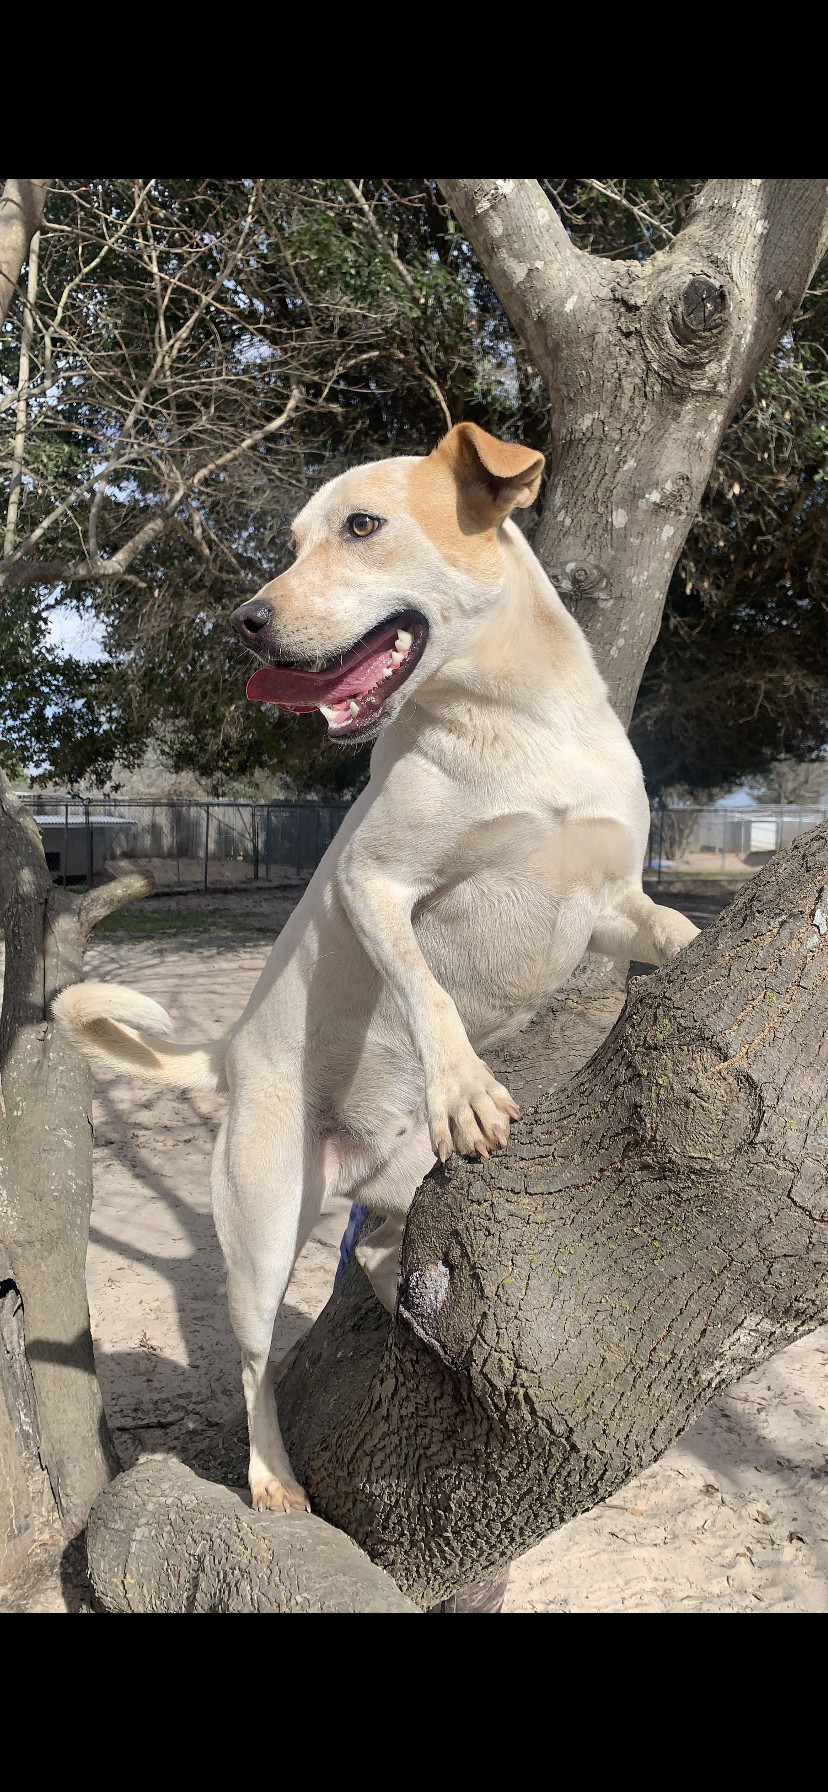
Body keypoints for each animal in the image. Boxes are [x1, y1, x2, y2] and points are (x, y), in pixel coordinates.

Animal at [53, 422, 698, 1512]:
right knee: (253, 1359)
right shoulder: (376, 883)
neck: (517, 726)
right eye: (293, 542)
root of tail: (229, 1054)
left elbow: (667, 928)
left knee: (390, 1247)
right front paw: (465, 1084)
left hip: (391, 1189)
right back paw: (272, 1476)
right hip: (264, 1224)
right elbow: (425, 990)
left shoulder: (607, 908)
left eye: (362, 526)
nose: (247, 621)